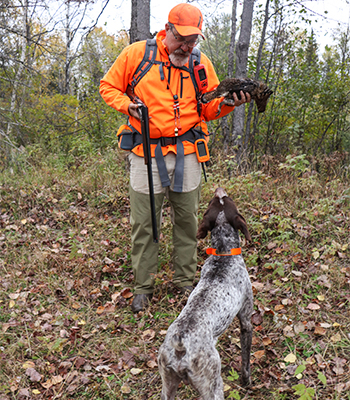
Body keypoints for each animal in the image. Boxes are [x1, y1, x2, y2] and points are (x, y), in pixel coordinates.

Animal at [157, 188, 253, 400]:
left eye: (214, 201)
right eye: (227, 199)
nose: (218, 189)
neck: (223, 253)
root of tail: (180, 345)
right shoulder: (246, 320)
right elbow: (245, 361)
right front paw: (247, 382)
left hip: (167, 386)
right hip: (213, 385)